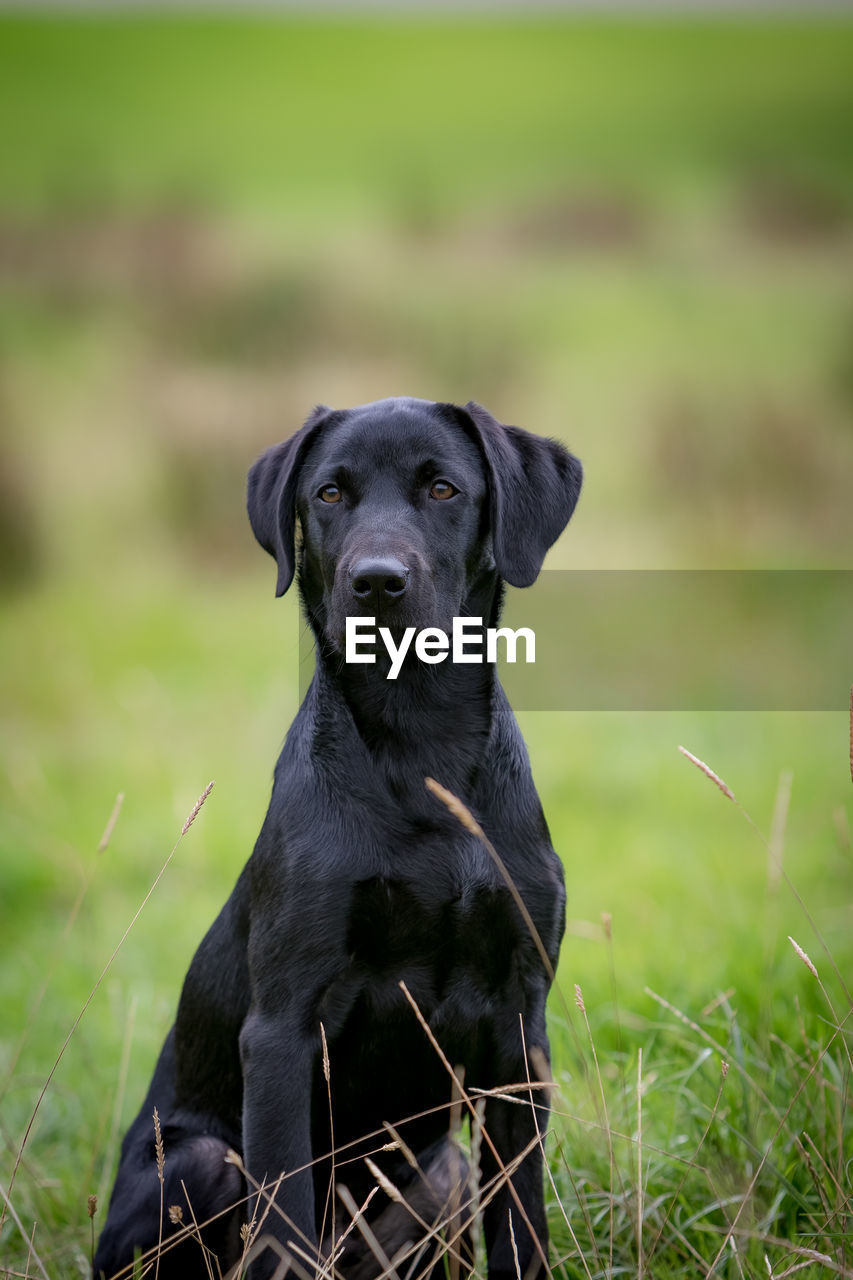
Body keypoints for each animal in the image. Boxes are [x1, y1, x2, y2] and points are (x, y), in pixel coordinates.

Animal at [96, 394, 581, 1274]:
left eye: (442, 488)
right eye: (327, 494)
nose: (377, 581)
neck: (418, 742)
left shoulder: (519, 1024)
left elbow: (519, 1218)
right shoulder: (284, 1030)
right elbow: (282, 1221)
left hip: (442, 1171)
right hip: (199, 1160)